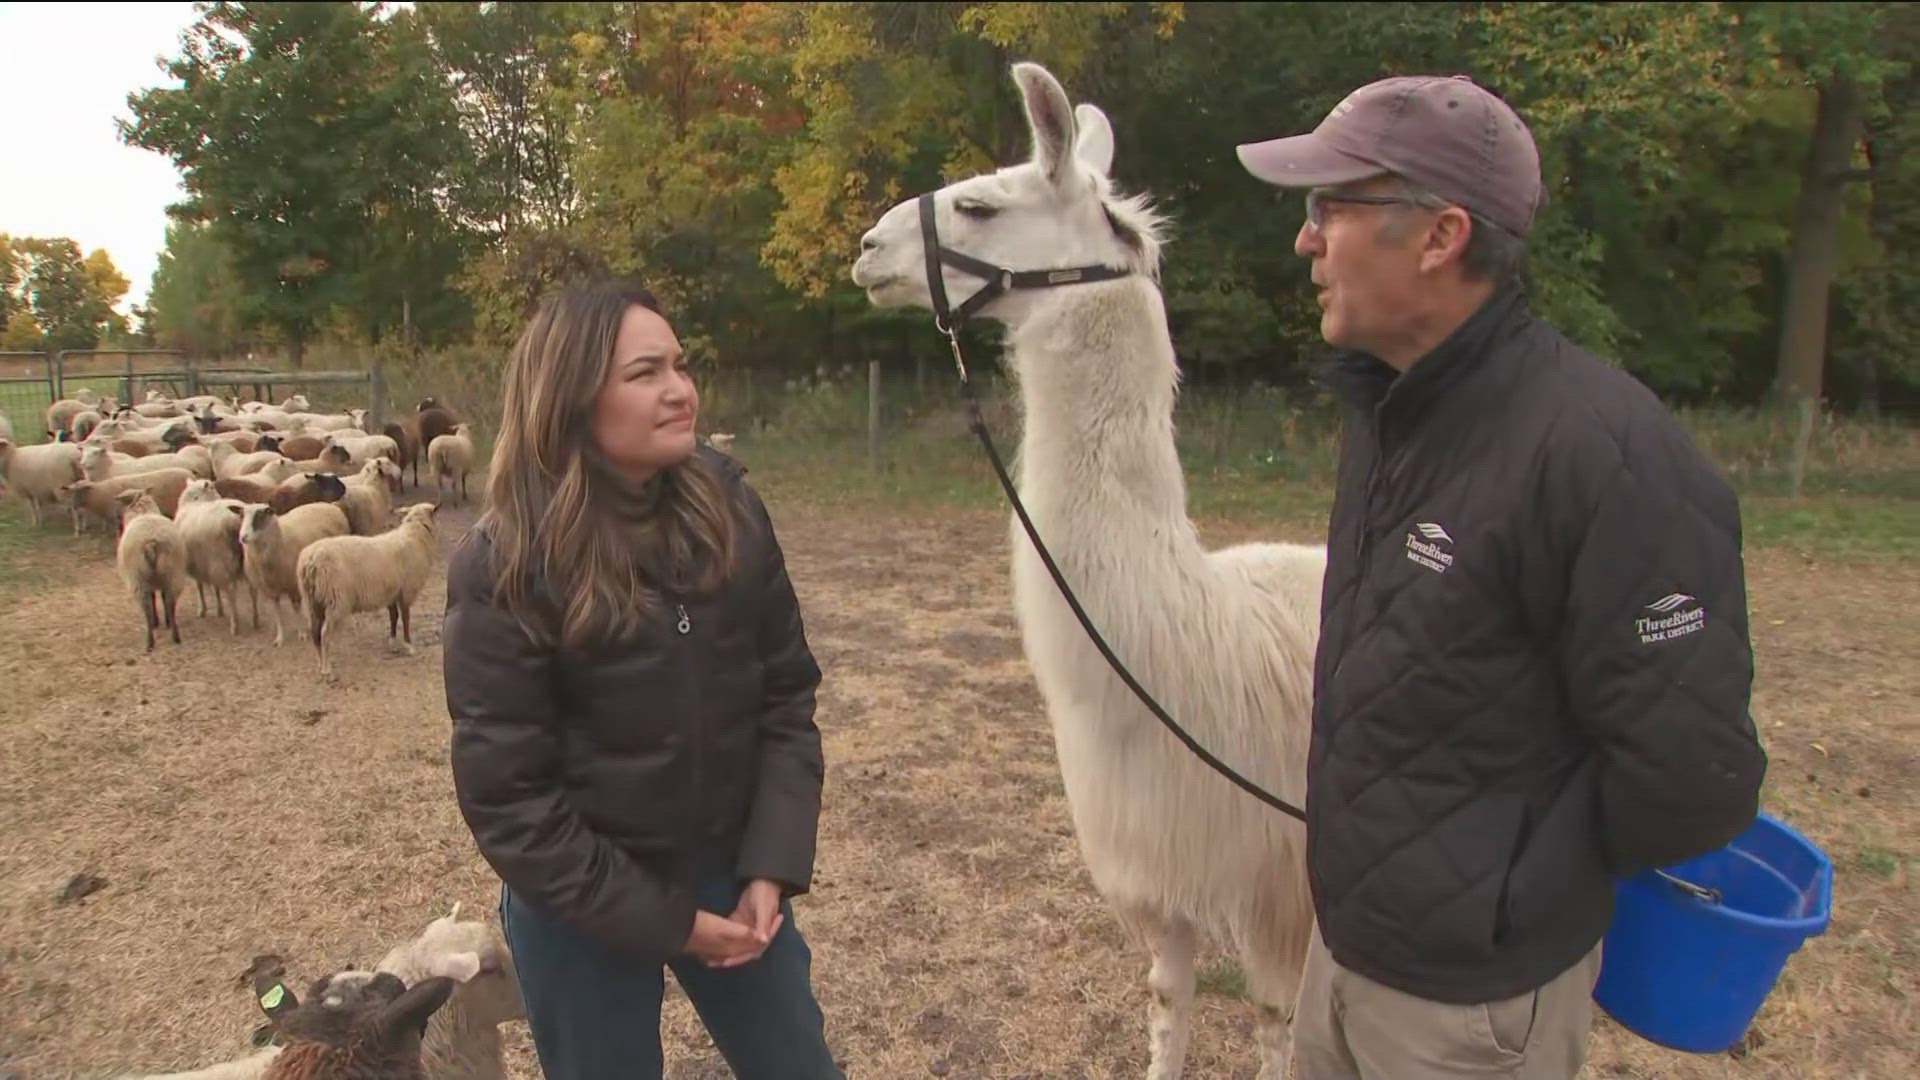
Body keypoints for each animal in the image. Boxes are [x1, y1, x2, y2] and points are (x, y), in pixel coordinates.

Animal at [115, 488, 188, 645]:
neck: (143, 511)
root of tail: (151, 542)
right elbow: (160, 597)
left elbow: (154, 598)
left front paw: (157, 622)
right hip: (173, 574)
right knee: (170, 603)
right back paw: (175, 634)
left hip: (137, 578)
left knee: (147, 608)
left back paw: (150, 640)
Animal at [174, 476, 259, 630]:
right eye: (214, 488)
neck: (196, 501)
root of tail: (236, 520)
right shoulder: (207, 563)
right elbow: (215, 587)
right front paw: (219, 609)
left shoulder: (200, 565)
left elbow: (200, 586)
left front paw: (202, 610)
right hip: (247, 559)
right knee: (253, 589)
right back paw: (255, 620)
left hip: (223, 562)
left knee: (231, 593)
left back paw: (235, 625)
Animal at [238, 499, 351, 641]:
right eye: (241, 515)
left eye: (260, 515)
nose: (243, 537)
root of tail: (330, 505)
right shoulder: (271, 589)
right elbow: (277, 612)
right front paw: (280, 637)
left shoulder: (292, 586)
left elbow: (296, 609)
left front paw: (301, 633)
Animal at [293, 503, 437, 672]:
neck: (415, 535)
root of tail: (311, 560)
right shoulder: (406, 592)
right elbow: (406, 619)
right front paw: (409, 646)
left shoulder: (391, 593)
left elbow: (394, 617)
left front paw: (393, 644)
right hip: (336, 600)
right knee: (325, 634)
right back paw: (327, 668)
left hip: (312, 599)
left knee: (315, 632)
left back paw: (319, 663)